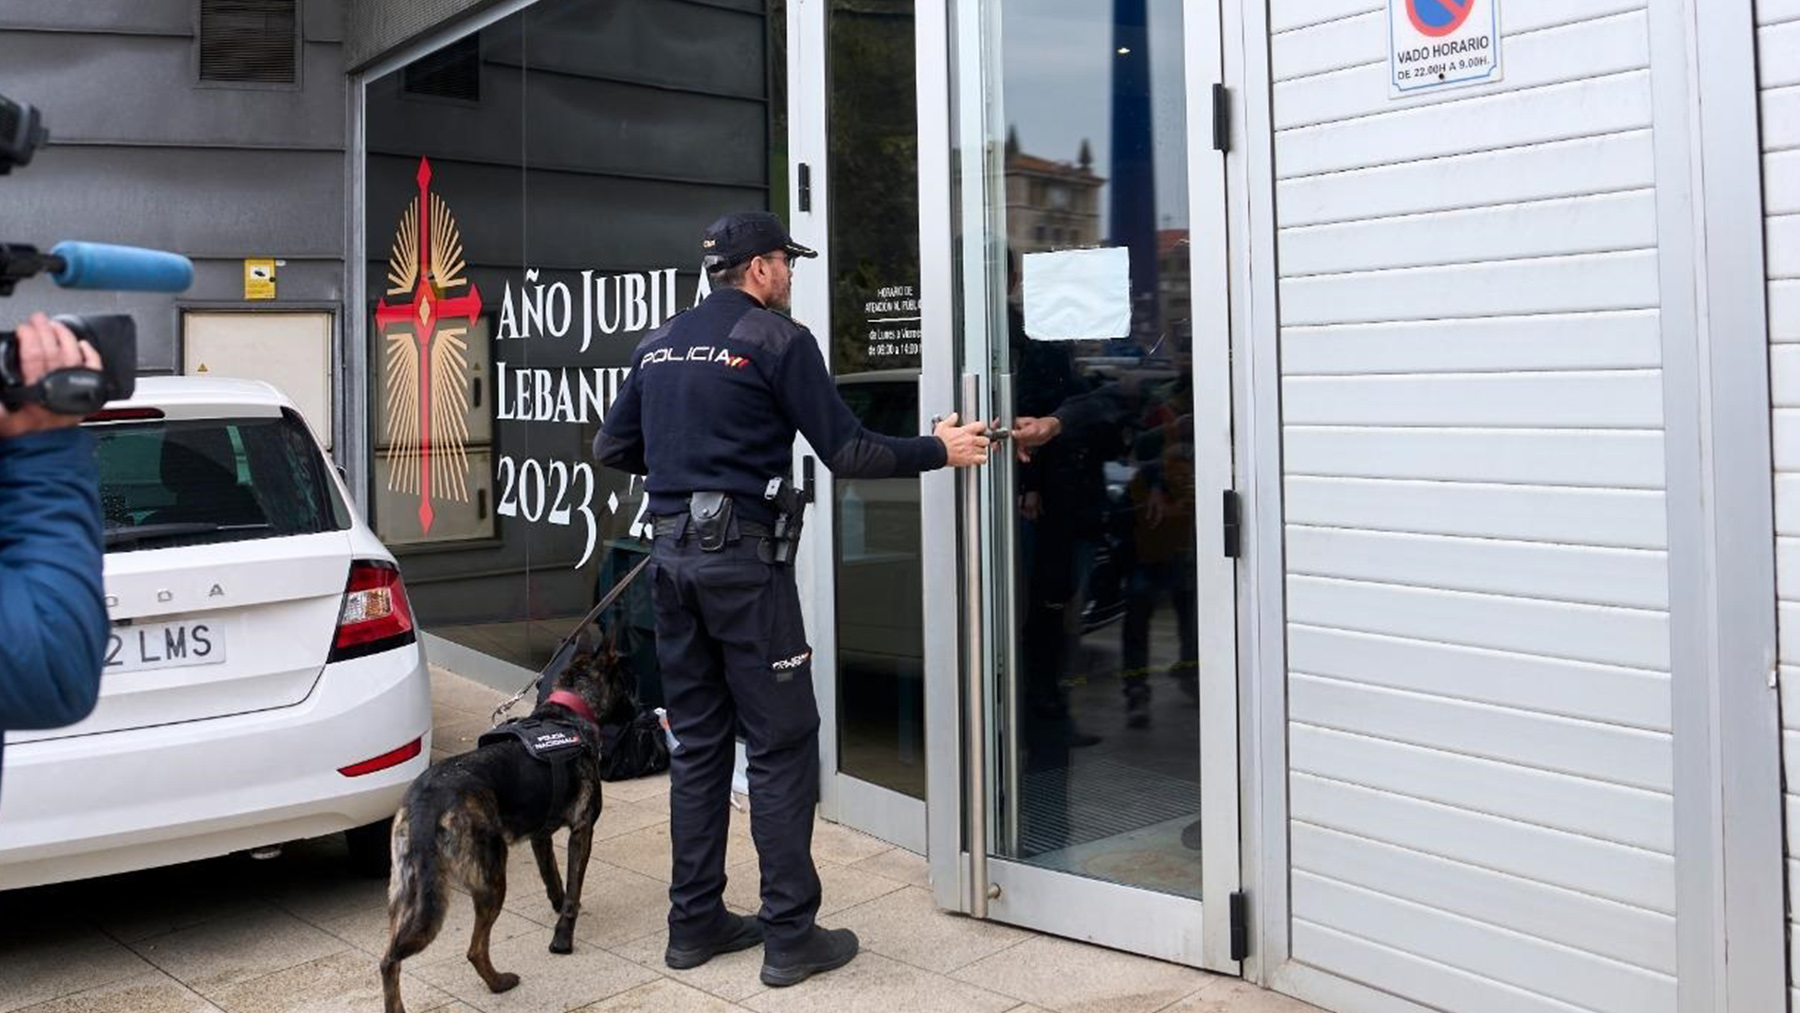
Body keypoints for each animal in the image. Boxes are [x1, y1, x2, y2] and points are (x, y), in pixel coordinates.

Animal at [376, 633, 637, 1013]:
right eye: (627, 684)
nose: (639, 706)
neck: (569, 713)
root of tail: (427, 801)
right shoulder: (582, 830)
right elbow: (573, 887)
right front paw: (563, 937)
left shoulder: (541, 837)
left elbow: (554, 881)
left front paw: (558, 910)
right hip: (490, 880)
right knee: (474, 949)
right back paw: (499, 983)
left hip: (404, 892)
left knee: (388, 960)